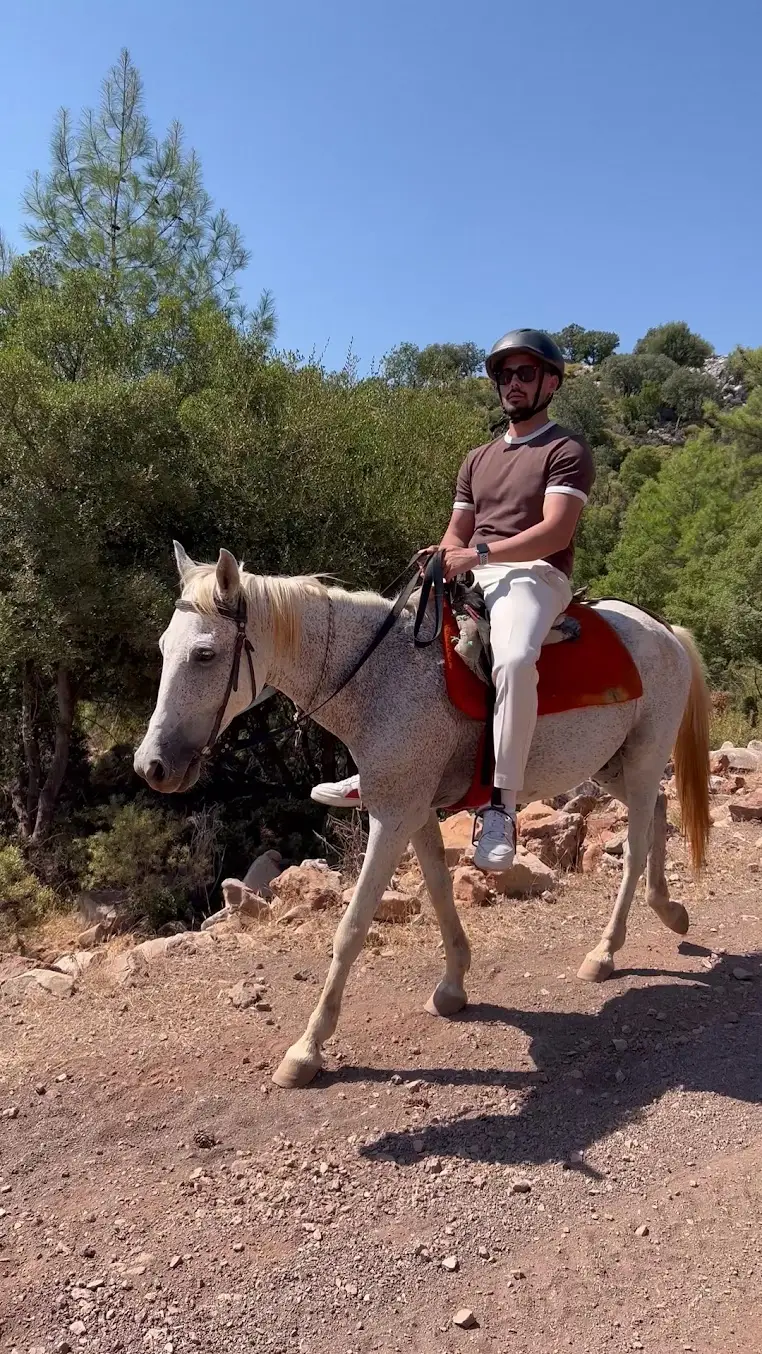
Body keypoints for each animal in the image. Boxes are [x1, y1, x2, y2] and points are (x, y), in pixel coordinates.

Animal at [134, 543, 711, 1090]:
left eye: (205, 654)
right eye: (162, 648)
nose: (151, 765)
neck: (380, 681)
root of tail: (664, 629)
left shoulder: (391, 816)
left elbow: (352, 928)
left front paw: (307, 1049)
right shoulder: (416, 811)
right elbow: (437, 889)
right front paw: (453, 985)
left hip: (641, 759)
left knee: (635, 847)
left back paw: (605, 951)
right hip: (614, 765)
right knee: (658, 814)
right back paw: (670, 911)